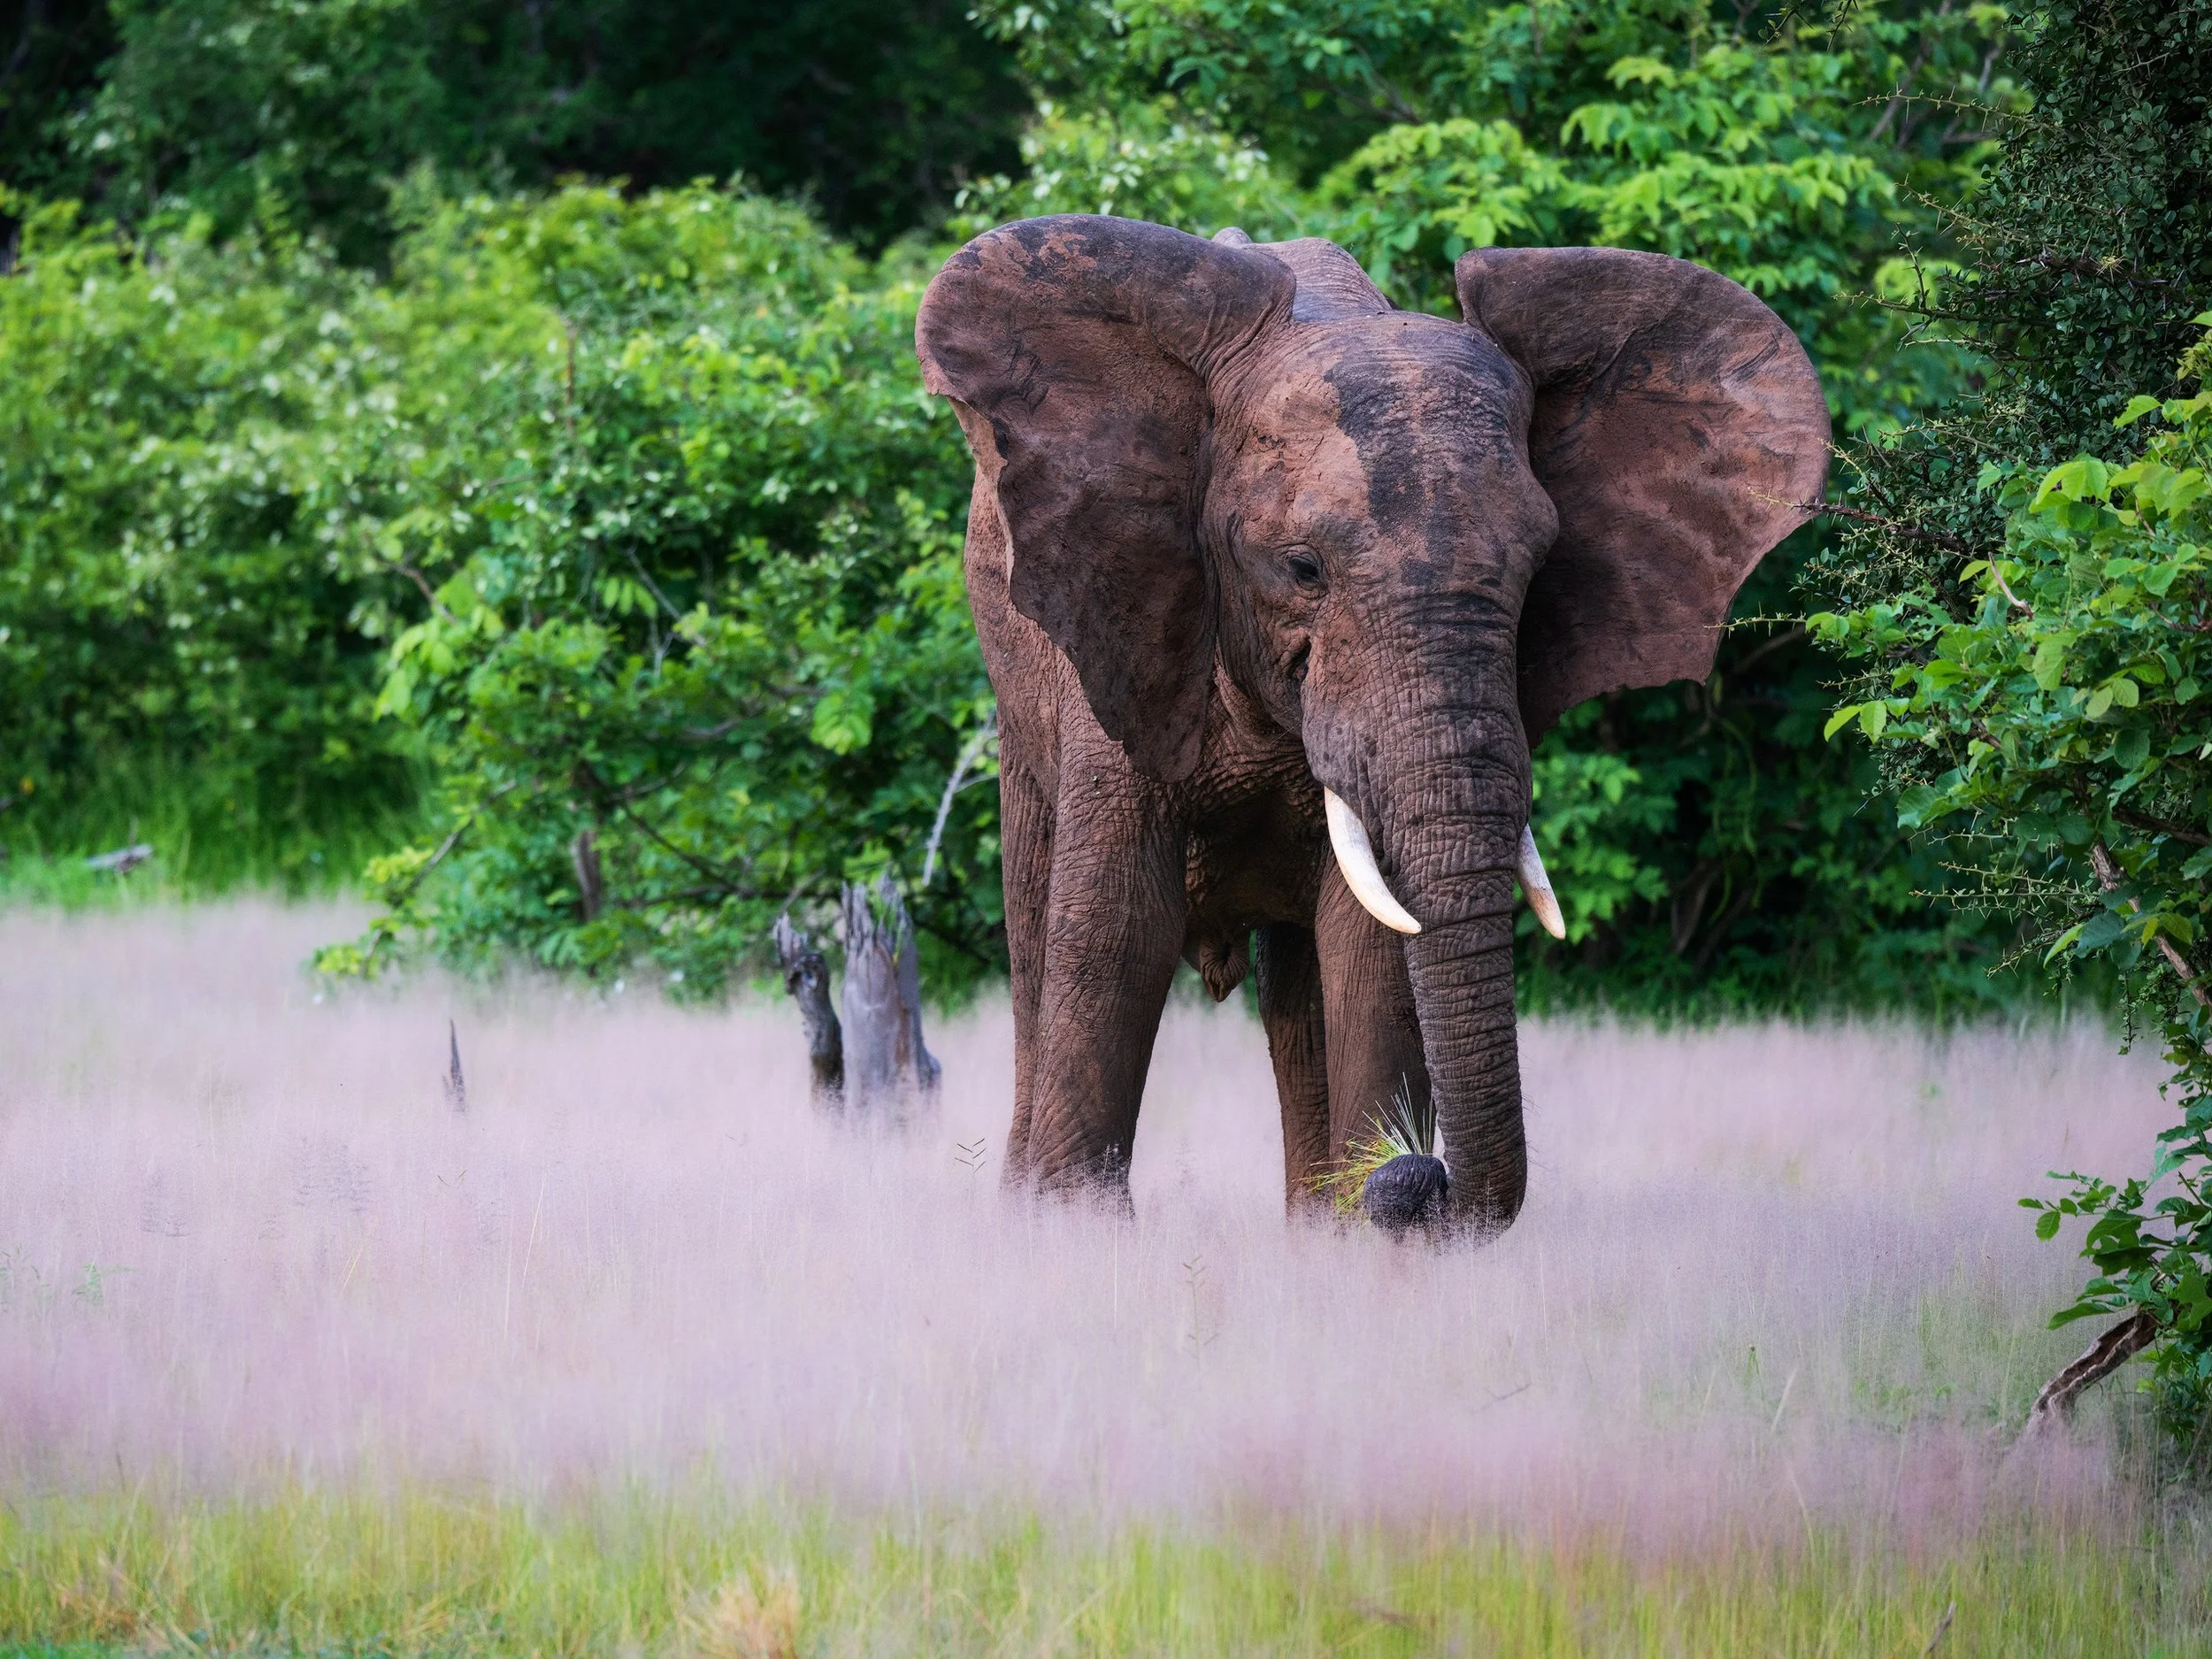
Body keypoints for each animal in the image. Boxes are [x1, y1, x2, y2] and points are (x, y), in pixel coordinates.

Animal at [914, 215, 1827, 1230]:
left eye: (1539, 569)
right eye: (1302, 567)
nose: (1416, 1175)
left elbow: (1370, 948)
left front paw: (1357, 1229)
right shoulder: (1122, 620)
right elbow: (1115, 932)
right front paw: (1069, 1233)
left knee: (1299, 995)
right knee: (1037, 932)